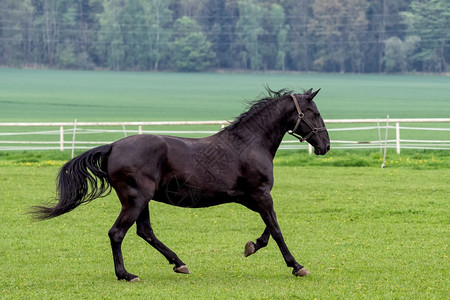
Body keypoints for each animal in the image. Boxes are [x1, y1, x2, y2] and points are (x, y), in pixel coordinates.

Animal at [33, 88, 328, 282]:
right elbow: (276, 229)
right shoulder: (261, 195)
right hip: (135, 199)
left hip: (142, 201)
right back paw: (127, 275)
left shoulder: (253, 198)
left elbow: (269, 229)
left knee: (145, 232)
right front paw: (297, 266)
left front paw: (252, 246)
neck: (249, 144)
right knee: (117, 233)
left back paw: (179, 264)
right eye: (314, 113)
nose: (325, 146)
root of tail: (113, 146)